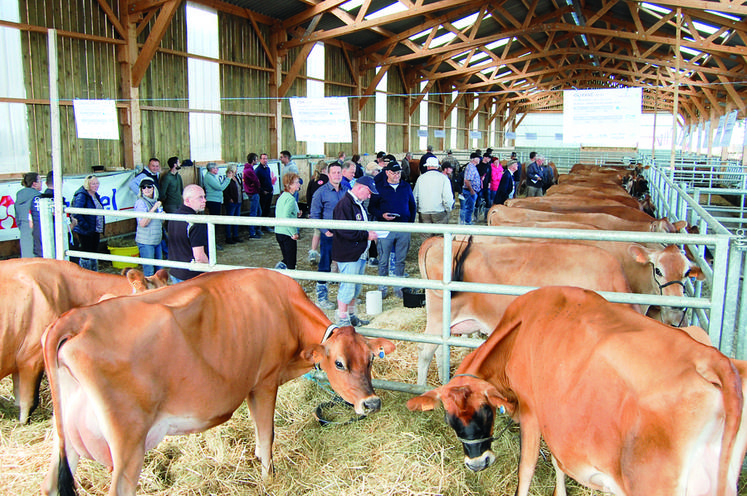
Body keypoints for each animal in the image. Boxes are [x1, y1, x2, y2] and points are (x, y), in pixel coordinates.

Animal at [41, 270, 398, 494]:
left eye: (370, 360)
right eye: (339, 363)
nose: (372, 403)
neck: (284, 310)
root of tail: (76, 317)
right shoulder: (264, 382)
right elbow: (267, 437)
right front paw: (269, 480)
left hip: (67, 439)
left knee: (51, 483)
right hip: (127, 440)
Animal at [410, 286, 747, 496]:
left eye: (486, 411)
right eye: (450, 420)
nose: (477, 464)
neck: (519, 331)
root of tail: (709, 358)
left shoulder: (533, 411)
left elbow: (526, 469)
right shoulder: (558, 420)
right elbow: (559, 462)